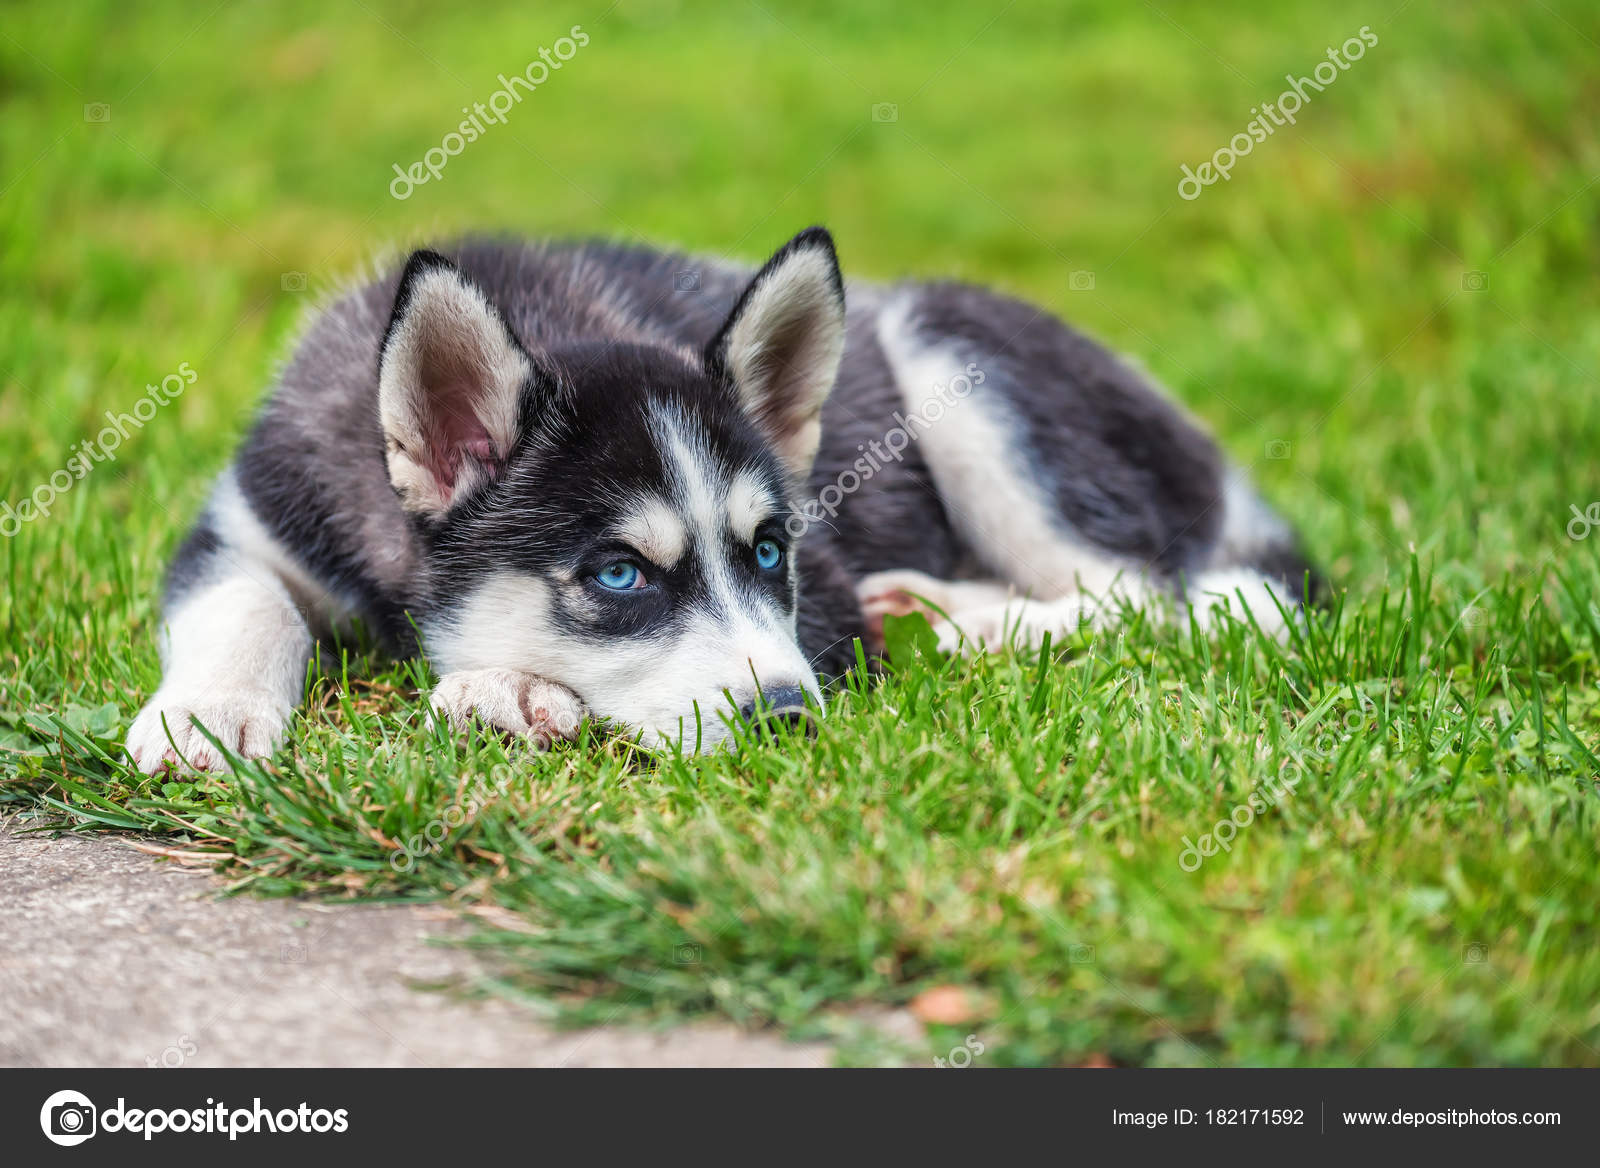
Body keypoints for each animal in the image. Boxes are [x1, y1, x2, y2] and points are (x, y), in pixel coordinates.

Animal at [128, 228, 1312, 774]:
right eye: (618, 574)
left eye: (770, 552)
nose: (790, 716)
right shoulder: (251, 518)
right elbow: (246, 603)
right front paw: (208, 713)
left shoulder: (821, 587)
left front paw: (502, 688)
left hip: (966, 372)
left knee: (1146, 591)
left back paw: (970, 624)